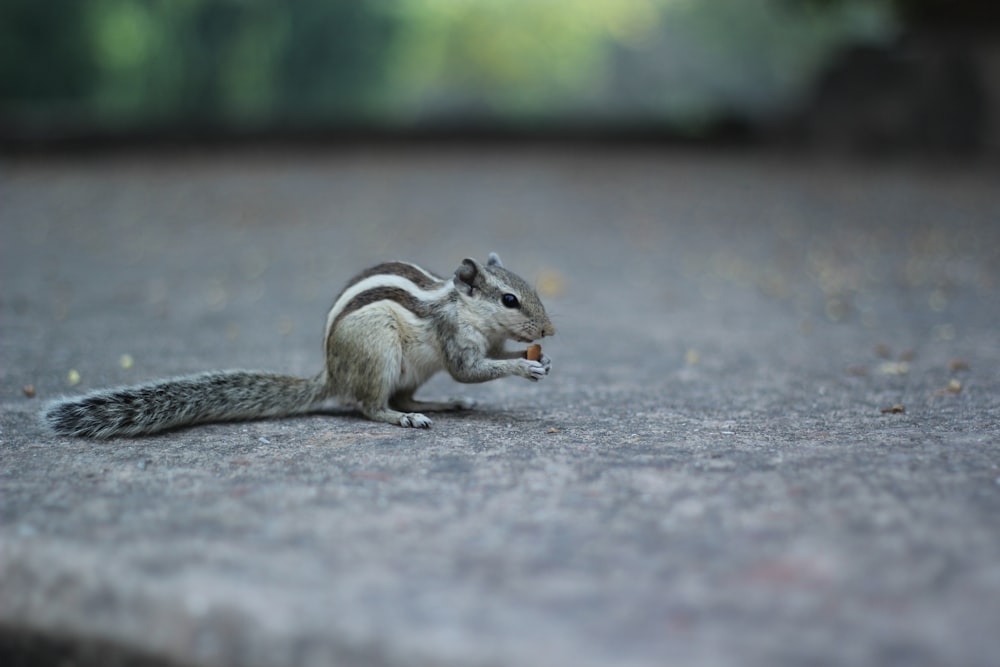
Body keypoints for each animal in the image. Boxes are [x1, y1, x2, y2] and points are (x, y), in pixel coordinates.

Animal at [45, 252, 556, 438]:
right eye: (509, 300)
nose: (549, 331)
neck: (462, 307)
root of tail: (332, 373)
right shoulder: (454, 337)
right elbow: (470, 370)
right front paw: (524, 367)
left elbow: (488, 363)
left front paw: (535, 361)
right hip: (379, 352)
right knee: (372, 406)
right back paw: (403, 418)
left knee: (405, 395)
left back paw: (439, 404)